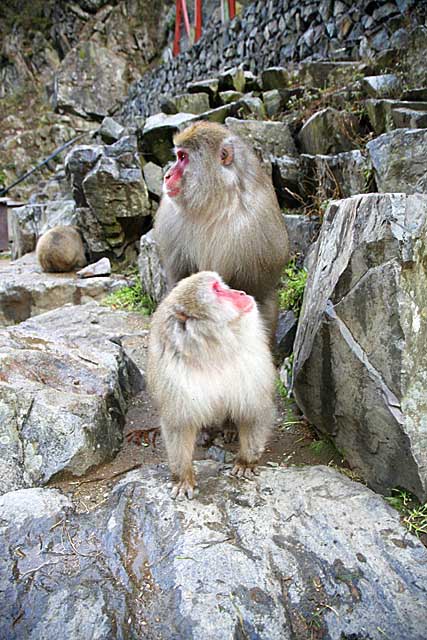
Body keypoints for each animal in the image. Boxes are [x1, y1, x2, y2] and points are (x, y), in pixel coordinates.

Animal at [148, 270, 278, 500]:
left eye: (221, 285)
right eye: (218, 290)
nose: (241, 292)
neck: (212, 350)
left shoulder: (250, 365)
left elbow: (254, 411)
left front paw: (246, 461)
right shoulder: (175, 376)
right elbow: (179, 425)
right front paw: (183, 477)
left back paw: (229, 428)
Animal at [154, 121, 290, 340]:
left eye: (182, 157)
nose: (167, 175)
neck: (214, 203)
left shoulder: (253, 229)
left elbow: (255, 294)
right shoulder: (170, 218)